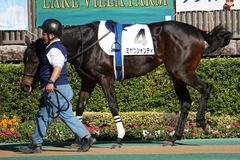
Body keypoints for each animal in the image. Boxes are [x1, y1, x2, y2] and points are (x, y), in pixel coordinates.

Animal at [21, 20, 232, 149]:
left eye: (35, 60)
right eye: (24, 59)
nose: (25, 86)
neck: (86, 42)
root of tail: (199, 32)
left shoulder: (105, 78)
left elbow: (113, 105)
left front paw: (119, 138)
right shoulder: (88, 80)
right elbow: (79, 108)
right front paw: (79, 140)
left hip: (182, 72)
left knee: (206, 87)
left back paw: (204, 124)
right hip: (176, 74)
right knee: (185, 102)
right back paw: (173, 138)